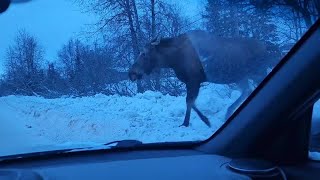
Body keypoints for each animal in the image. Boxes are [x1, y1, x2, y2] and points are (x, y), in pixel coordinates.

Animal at [129, 29, 276, 126]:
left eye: (143, 53)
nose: (131, 73)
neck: (173, 60)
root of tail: (266, 46)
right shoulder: (192, 81)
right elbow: (191, 101)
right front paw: (193, 121)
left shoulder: (194, 80)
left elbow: (189, 101)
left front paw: (194, 121)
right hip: (240, 76)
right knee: (247, 90)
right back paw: (228, 112)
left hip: (256, 72)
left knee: (249, 89)